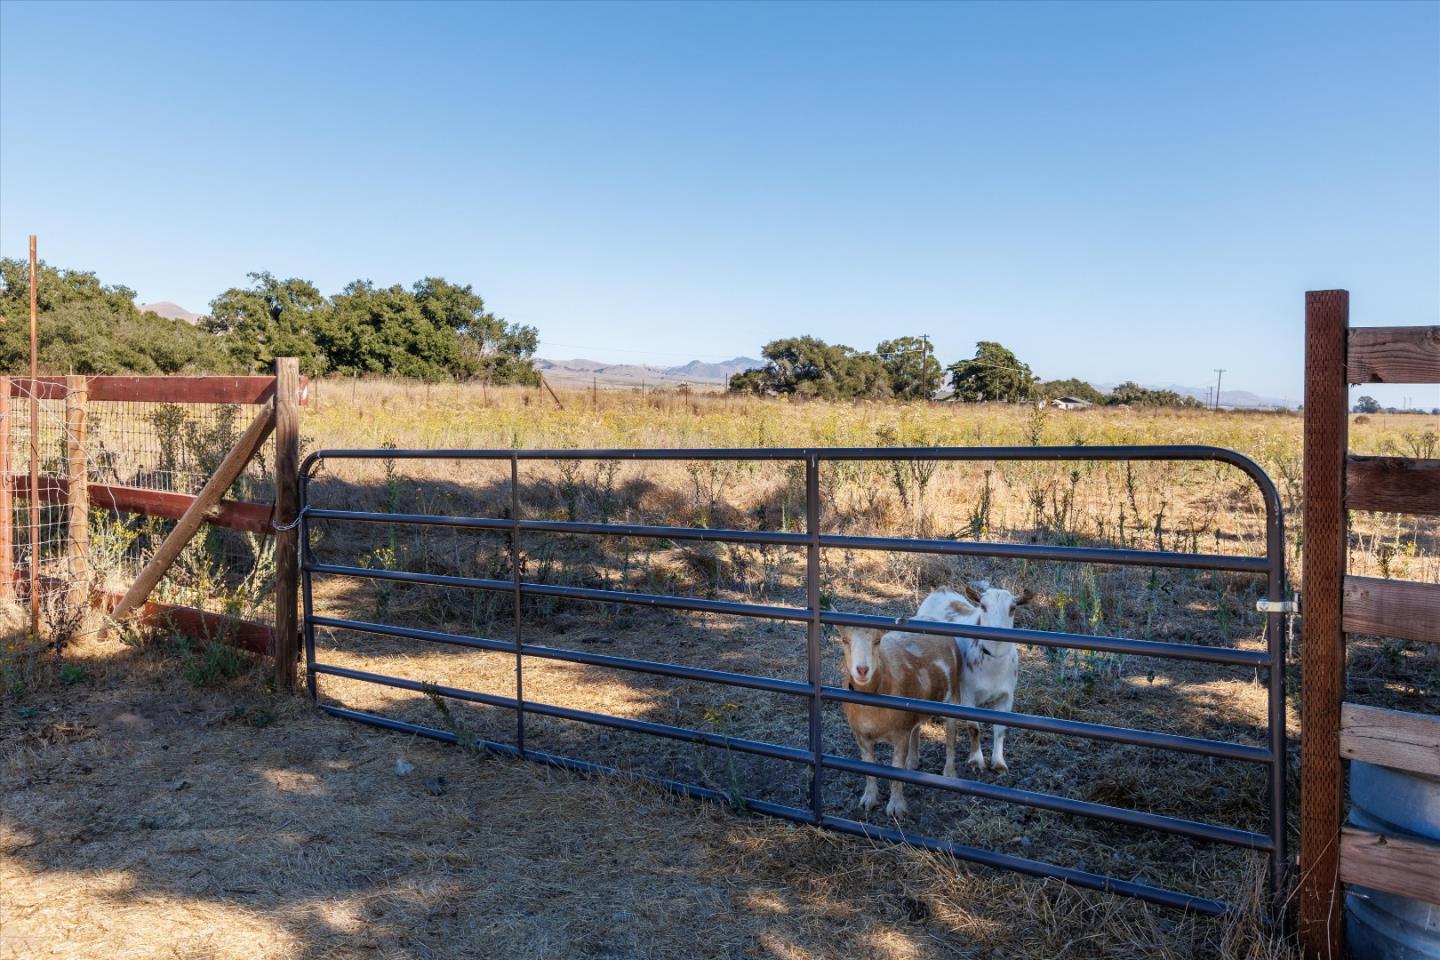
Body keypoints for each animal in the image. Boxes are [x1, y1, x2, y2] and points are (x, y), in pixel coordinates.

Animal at [915, 578, 1031, 771]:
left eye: (1012, 608)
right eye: (983, 606)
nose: (997, 632)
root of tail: (941, 590)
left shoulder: (1007, 696)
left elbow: (1000, 730)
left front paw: (999, 763)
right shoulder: (968, 693)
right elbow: (974, 728)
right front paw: (976, 761)